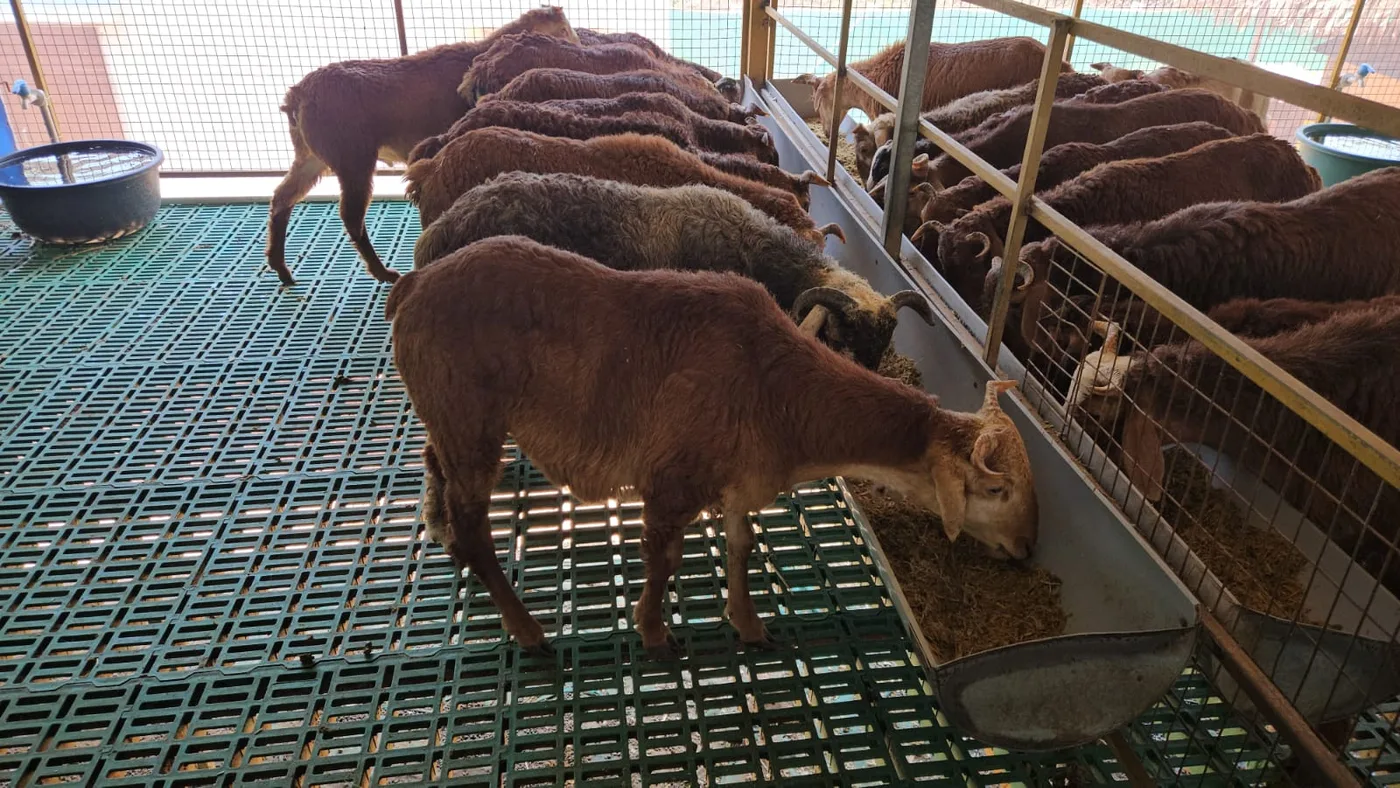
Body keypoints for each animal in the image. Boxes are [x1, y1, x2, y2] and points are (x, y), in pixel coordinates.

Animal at [265, 6, 578, 286]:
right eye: (562, 31)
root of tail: (296, 97)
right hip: (352, 157)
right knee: (351, 216)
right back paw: (383, 272)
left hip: (310, 156)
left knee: (282, 197)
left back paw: (281, 268)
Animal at [387, 235, 1039, 656]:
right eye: (996, 489)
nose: (1026, 550)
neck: (779, 389)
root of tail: (412, 284)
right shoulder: (671, 480)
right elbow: (663, 559)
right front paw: (654, 632)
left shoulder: (739, 483)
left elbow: (742, 545)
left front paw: (749, 623)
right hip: (469, 418)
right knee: (476, 524)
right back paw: (526, 628)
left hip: (448, 419)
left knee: (437, 470)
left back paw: (445, 536)